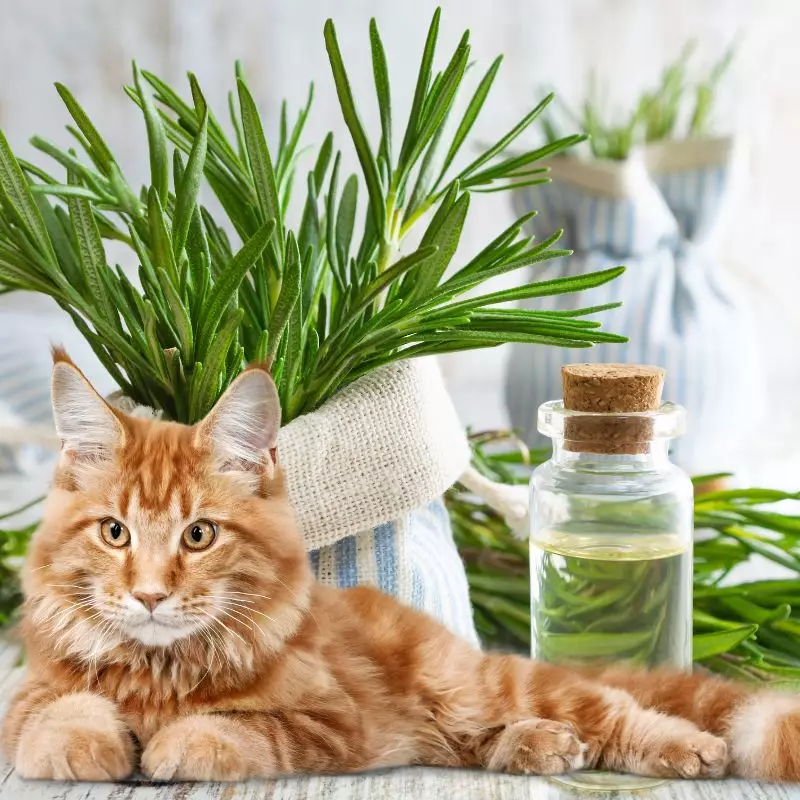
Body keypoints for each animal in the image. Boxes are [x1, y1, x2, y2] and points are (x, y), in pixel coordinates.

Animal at [1, 354, 800, 780]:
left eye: (198, 536)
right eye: (114, 533)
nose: (149, 596)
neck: (159, 672)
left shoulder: (330, 721)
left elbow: (239, 728)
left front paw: (175, 744)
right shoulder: (29, 693)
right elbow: (56, 714)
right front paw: (87, 744)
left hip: (476, 684)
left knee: (617, 710)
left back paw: (687, 750)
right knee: (499, 739)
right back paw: (542, 747)